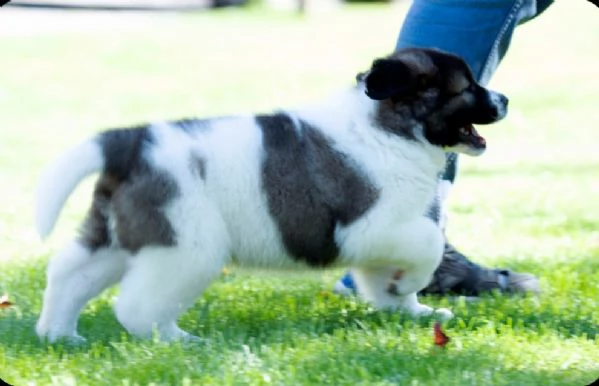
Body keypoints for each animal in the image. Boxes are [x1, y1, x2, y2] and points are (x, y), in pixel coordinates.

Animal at [35, 49, 508, 344]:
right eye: (467, 88)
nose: (504, 98)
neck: (391, 126)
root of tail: (131, 142)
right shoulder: (372, 226)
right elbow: (429, 243)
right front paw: (410, 286)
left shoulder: (383, 237)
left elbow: (382, 279)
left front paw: (409, 310)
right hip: (184, 247)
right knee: (136, 306)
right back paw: (178, 341)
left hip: (119, 235)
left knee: (70, 272)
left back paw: (59, 334)